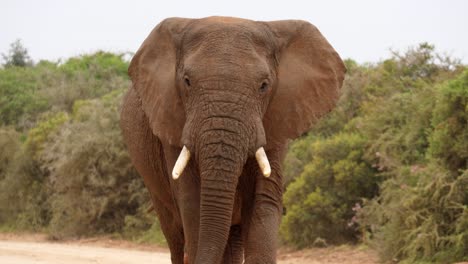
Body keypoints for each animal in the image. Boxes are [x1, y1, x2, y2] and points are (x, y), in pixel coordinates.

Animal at [119, 16, 348, 264]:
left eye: (264, 85)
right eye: (187, 81)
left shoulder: (276, 119)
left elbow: (263, 199)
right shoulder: (171, 119)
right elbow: (192, 200)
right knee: (174, 234)